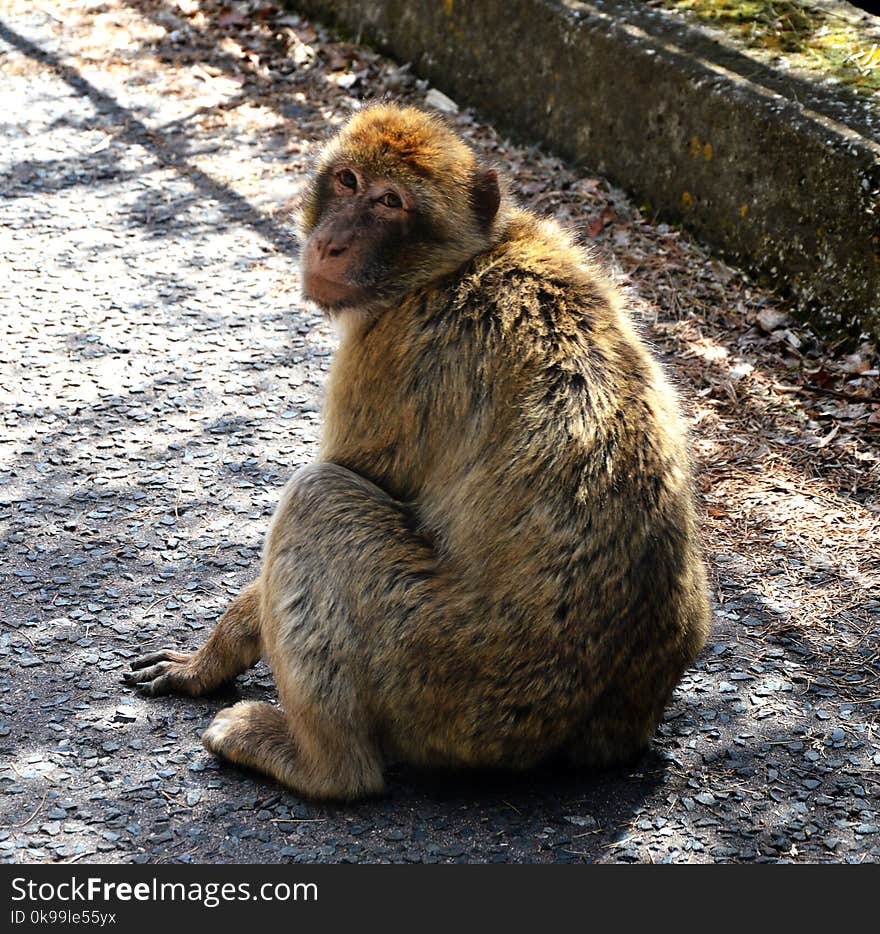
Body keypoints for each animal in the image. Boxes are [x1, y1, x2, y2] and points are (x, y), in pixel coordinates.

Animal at [124, 102, 712, 804]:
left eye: (390, 202)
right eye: (347, 181)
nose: (330, 243)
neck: (455, 265)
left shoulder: (390, 352)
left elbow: (345, 477)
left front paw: (209, 660)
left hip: (440, 674)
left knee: (320, 499)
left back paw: (321, 764)